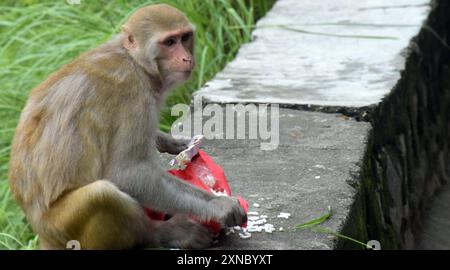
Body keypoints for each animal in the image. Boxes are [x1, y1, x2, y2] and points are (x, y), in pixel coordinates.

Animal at [7, 3, 246, 250]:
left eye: (185, 37)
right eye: (170, 42)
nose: (186, 58)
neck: (137, 62)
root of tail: (40, 229)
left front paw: (171, 142)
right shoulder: (134, 95)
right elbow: (127, 173)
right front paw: (218, 205)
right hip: (61, 225)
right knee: (101, 194)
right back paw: (162, 232)